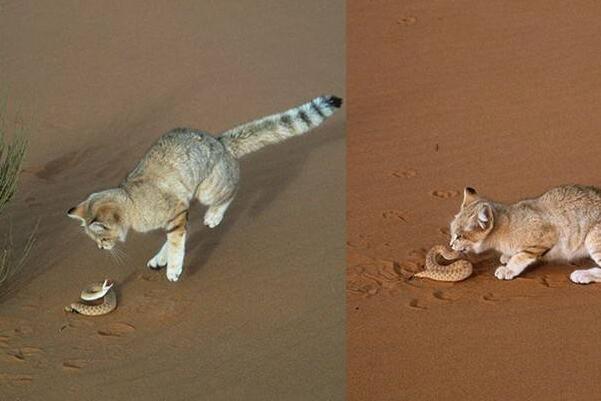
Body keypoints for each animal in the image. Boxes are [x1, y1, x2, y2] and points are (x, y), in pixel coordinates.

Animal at [67, 94, 340, 282]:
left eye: (102, 237)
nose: (101, 248)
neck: (133, 201)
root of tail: (221, 142)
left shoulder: (176, 212)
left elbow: (176, 244)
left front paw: (173, 269)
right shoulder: (178, 214)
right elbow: (173, 240)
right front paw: (162, 259)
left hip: (209, 190)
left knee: (233, 189)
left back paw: (214, 217)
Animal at [448, 186, 601, 282]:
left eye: (459, 236)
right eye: (452, 232)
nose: (450, 245)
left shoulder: (547, 236)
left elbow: (521, 256)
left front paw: (508, 269)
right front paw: (507, 256)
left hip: (593, 238)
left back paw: (582, 275)